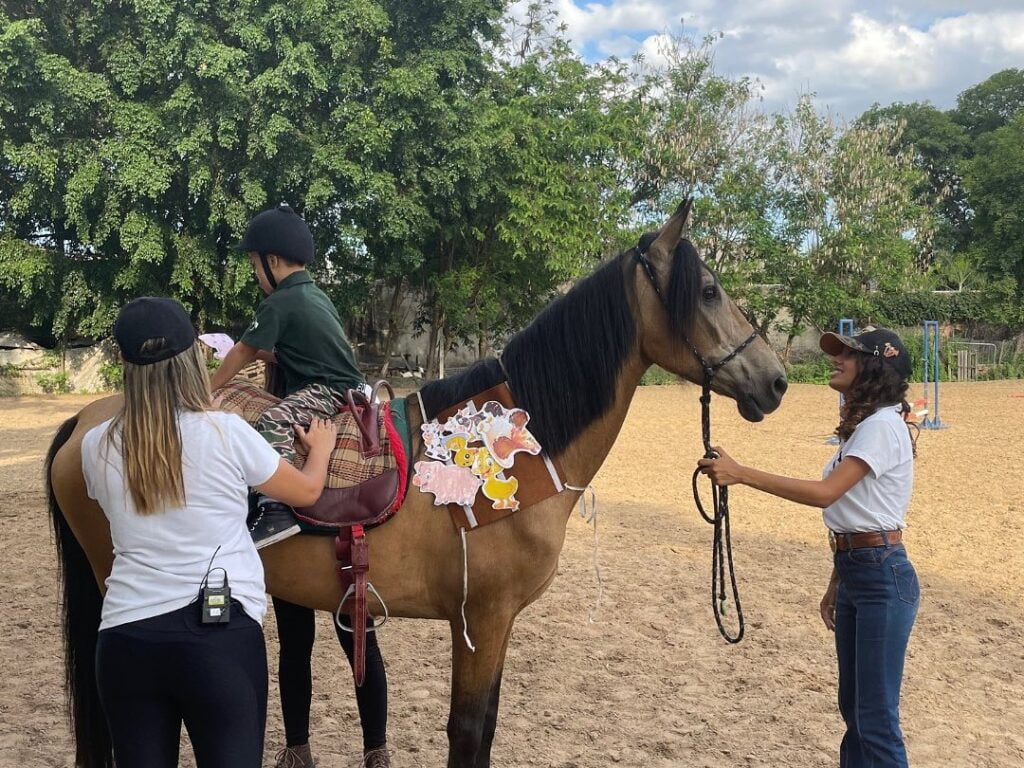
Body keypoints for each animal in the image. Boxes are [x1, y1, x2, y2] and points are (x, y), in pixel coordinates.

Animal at [44, 201, 786, 765]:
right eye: (710, 290)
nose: (775, 381)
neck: (511, 453)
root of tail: (89, 416)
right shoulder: (481, 620)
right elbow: (469, 733)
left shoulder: (494, 626)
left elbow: (481, 728)